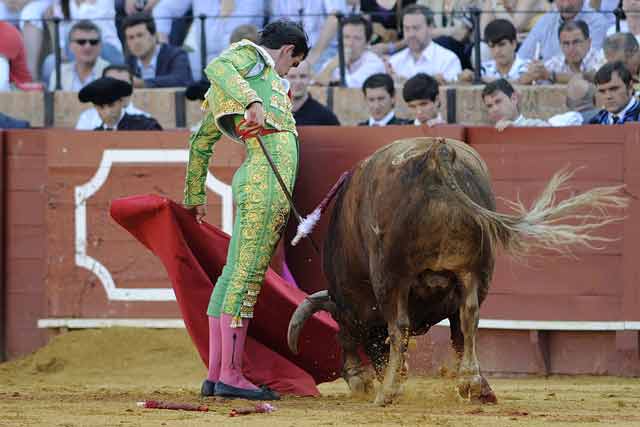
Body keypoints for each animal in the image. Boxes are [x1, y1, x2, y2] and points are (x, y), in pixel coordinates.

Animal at [288, 138, 628, 408]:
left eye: (338, 323)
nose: (359, 381)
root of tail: (436, 153)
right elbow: (458, 333)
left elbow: (380, 332)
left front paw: (366, 379)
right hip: (477, 270)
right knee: (469, 317)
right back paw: (475, 385)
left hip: (390, 275)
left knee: (400, 326)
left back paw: (388, 392)